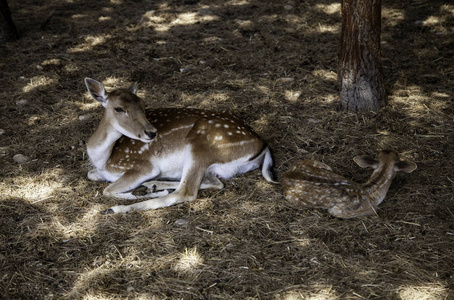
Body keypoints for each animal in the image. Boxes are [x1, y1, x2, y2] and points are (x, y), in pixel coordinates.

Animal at [85, 77, 276, 213]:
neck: (103, 159)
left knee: (186, 192)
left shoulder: (142, 166)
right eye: (119, 108)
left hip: (201, 144)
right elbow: (90, 174)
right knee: (214, 183)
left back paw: (116, 208)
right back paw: (152, 185)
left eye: (143, 104)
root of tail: (262, 143)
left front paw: (132, 195)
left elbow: (108, 190)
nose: (151, 132)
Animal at [284, 151, 418, 219]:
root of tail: (286, 174)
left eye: (389, 152)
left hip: (317, 163)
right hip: (292, 198)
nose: (387, 150)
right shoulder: (340, 211)